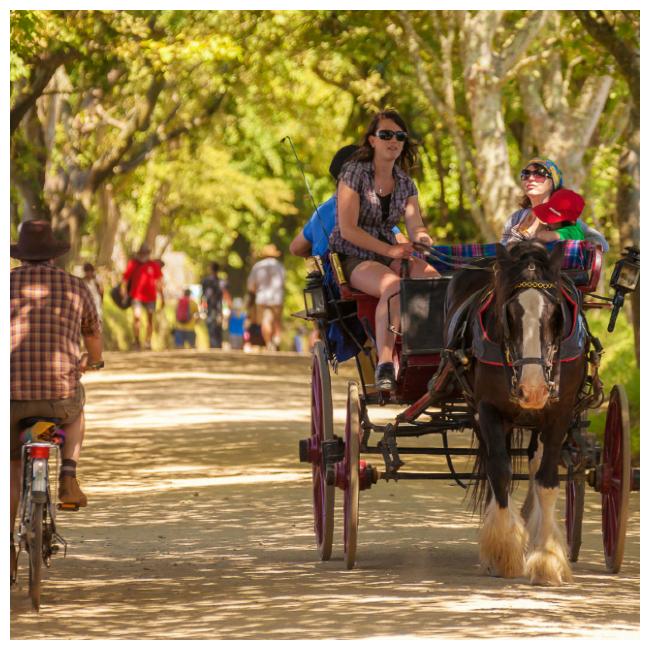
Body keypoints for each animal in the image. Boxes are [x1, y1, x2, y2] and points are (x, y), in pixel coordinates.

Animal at [442, 240, 584, 584]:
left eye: (556, 314)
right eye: (508, 313)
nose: (533, 390)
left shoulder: (560, 413)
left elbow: (546, 480)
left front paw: (547, 557)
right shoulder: (488, 409)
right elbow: (500, 471)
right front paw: (503, 551)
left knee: (534, 462)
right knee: (498, 464)